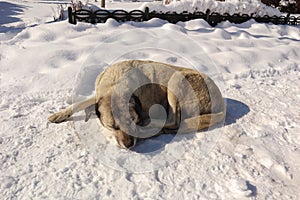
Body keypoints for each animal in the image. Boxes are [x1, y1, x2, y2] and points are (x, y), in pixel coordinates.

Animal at [47, 60, 225, 149]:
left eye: (131, 121)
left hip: (177, 79)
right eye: (112, 126)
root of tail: (221, 102)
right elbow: (79, 103)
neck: (115, 83)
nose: (129, 145)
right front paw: (59, 114)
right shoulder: (98, 95)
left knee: (174, 122)